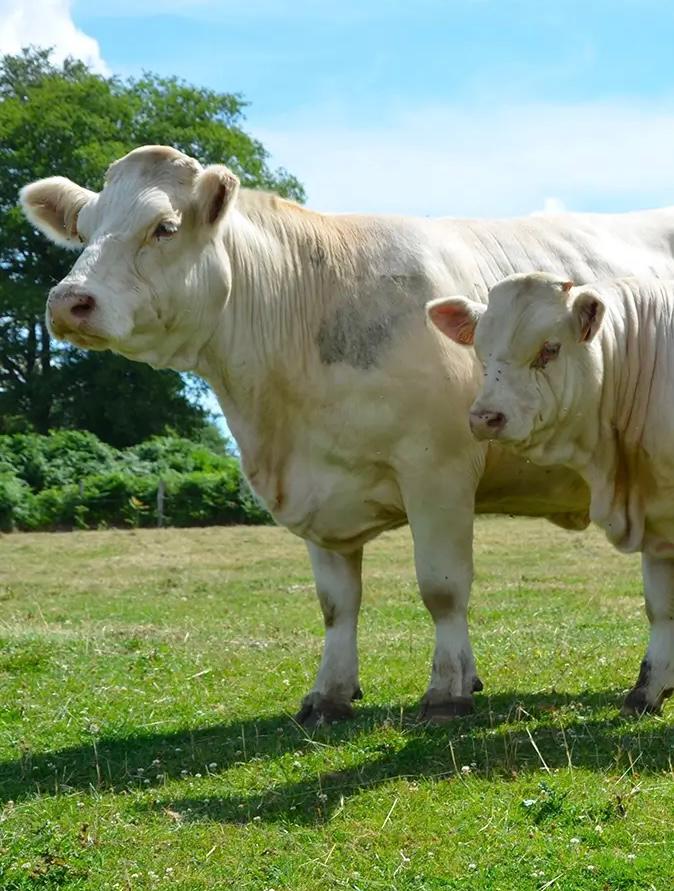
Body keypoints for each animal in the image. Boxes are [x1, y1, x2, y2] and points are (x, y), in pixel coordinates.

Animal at [427, 271, 674, 715]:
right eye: (481, 351)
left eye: (549, 349)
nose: (484, 417)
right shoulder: (658, 519)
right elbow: (662, 608)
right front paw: (648, 691)